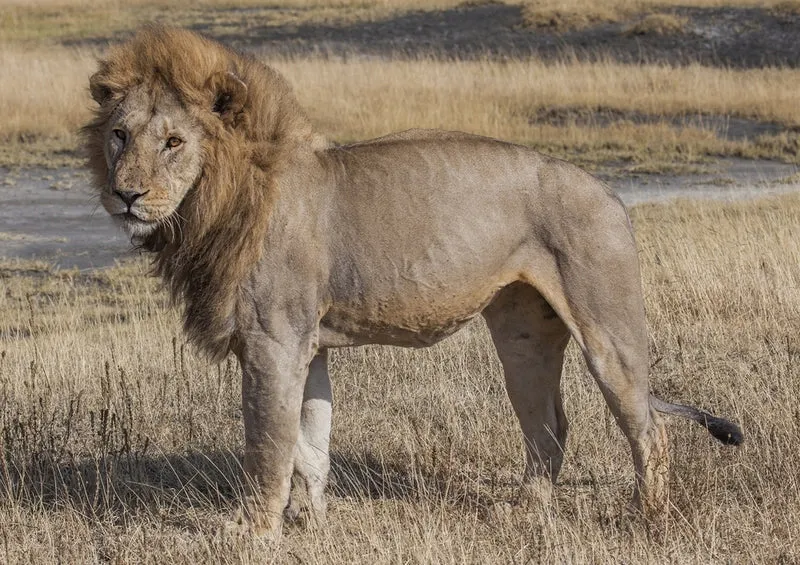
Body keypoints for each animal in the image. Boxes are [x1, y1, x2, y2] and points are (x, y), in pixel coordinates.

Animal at [83, 26, 743, 537]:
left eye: (173, 141)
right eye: (120, 134)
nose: (126, 194)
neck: (214, 203)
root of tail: (608, 192)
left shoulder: (274, 342)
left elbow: (267, 444)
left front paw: (254, 531)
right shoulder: (306, 345)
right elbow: (309, 444)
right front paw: (308, 523)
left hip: (608, 332)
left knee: (649, 428)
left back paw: (646, 520)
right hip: (523, 339)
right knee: (549, 430)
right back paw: (523, 516)